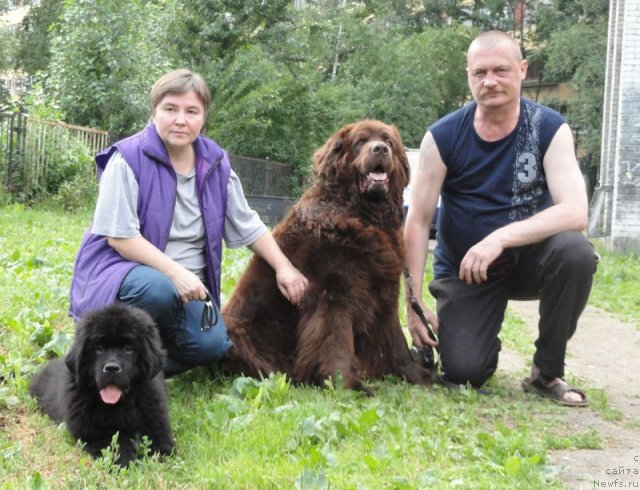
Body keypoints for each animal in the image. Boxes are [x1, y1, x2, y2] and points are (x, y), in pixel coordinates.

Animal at [29, 302, 175, 468]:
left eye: (128, 348)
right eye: (99, 348)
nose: (111, 368)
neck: (123, 403)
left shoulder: (155, 417)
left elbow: (161, 442)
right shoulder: (95, 431)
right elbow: (114, 444)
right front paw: (124, 462)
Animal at [222, 119, 432, 394]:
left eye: (388, 142)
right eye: (360, 142)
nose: (380, 149)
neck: (364, 216)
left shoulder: (384, 291)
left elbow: (395, 340)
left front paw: (418, 374)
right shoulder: (332, 294)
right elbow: (335, 340)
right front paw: (348, 386)